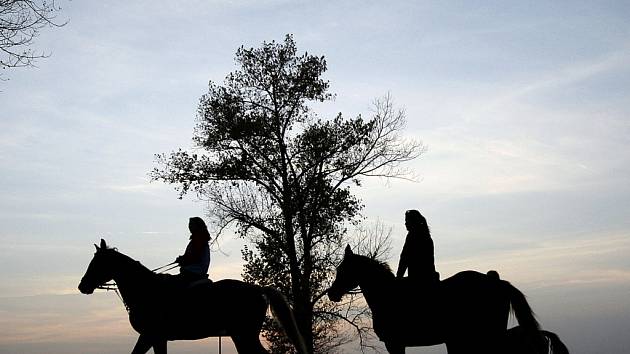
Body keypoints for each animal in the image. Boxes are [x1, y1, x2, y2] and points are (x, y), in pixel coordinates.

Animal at [78, 238, 310, 354]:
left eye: (97, 263)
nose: (82, 286)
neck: (146, 291)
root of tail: (258, 289)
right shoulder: (158, 338)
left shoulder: (150, 335)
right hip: (241, 336)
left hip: (244, 335)